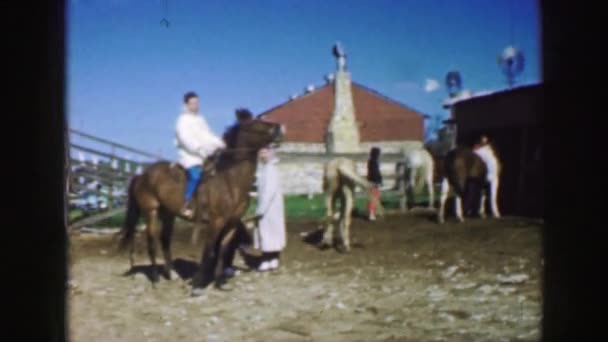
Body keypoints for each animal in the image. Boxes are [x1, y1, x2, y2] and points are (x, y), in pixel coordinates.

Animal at [119, 108, 284, 296]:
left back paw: (171, 274)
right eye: (255, 123)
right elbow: (209, 251)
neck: (229, 181)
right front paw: (198, 284)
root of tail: (142, 175)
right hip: (150, 211)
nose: (280, 128)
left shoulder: (232, 224)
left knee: (165, 240)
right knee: (151, 242)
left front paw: (220, 282)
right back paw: (155, 279)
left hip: (168, 214)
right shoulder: (215, 222)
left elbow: (222, 251)